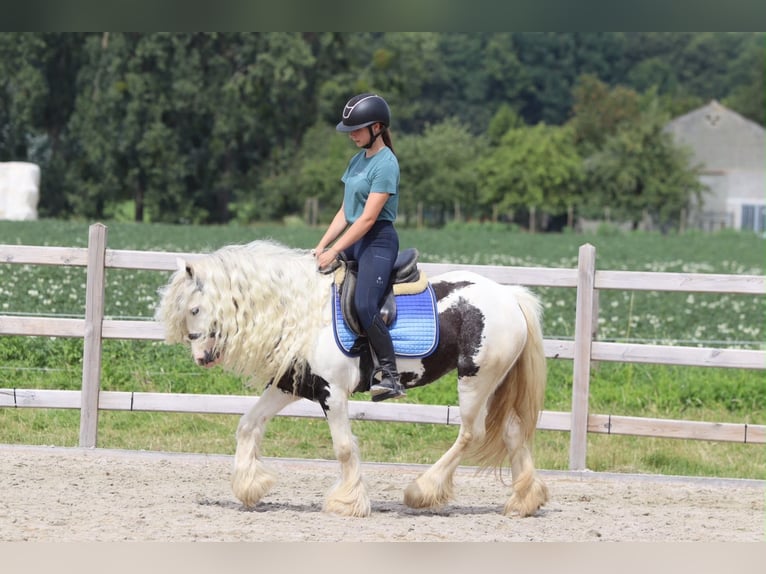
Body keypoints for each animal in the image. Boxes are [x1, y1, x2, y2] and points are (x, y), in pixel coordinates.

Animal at [156, 239, 549, 518]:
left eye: (194, 309)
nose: (202, 358)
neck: (303, 313)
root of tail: (509, 296)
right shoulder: (291, 387)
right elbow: (247, 425)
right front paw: (250, 487)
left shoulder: (333, 392)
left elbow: (344, 447)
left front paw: (347, 503)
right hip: (494, 383)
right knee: (513, 432)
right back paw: (524, 501)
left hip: (475, 381)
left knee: (471, 434)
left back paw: (422, 491)